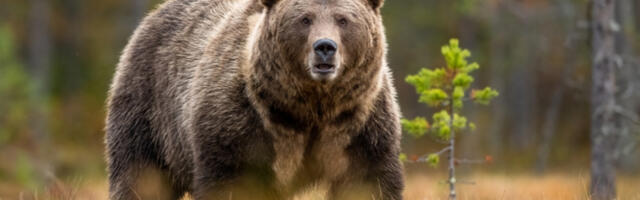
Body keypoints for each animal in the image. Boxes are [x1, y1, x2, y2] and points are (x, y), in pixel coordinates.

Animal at [107, 0, 402, 198]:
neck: (309, 108)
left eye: (343, 19)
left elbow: (369, 181)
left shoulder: (358, 125)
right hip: (150, 108)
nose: (325, 47)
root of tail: (153, 15)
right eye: (305, 19)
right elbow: (231, 182)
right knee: (139, 175)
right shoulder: (241, 122)